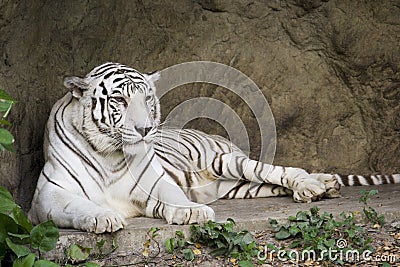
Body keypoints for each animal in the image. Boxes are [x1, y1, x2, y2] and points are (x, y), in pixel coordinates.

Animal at [28, 63, 400, 233]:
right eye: (119, 100)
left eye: (147, 98)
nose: (145, 129)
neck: (109, 152)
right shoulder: (48, 197)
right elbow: (78, 206)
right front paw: (103, 217)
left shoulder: (153, 182)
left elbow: (173, 196)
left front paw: (192, 212)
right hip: (239, 187)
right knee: (270, 184)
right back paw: (324, 186)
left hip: (228, 162)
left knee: (281, 171)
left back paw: (313, 185)